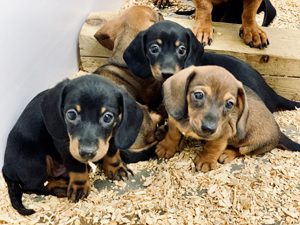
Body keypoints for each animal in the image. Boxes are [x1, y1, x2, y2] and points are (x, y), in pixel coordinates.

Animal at [1, 75, 143, 214]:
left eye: (108, 117)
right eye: (71, 114)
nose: (87, 152)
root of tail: (6, 168)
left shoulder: (113, 132)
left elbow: (112, 150)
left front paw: (115, 167)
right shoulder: (65, 145)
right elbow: (76, 165)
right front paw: (79, 186)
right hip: (36, 162)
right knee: (32, 186)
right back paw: (60, 188)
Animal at [157, 65, 300, 172]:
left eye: (230, 104)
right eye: (198, 95)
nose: (209, 128)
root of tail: (279, 132)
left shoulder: (222, 134)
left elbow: (212, 147)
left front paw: (206, 160)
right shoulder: (174, 121)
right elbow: (173, 135)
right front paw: (166, 147)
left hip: (251, 145)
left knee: (240, 150)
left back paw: (227, 154)